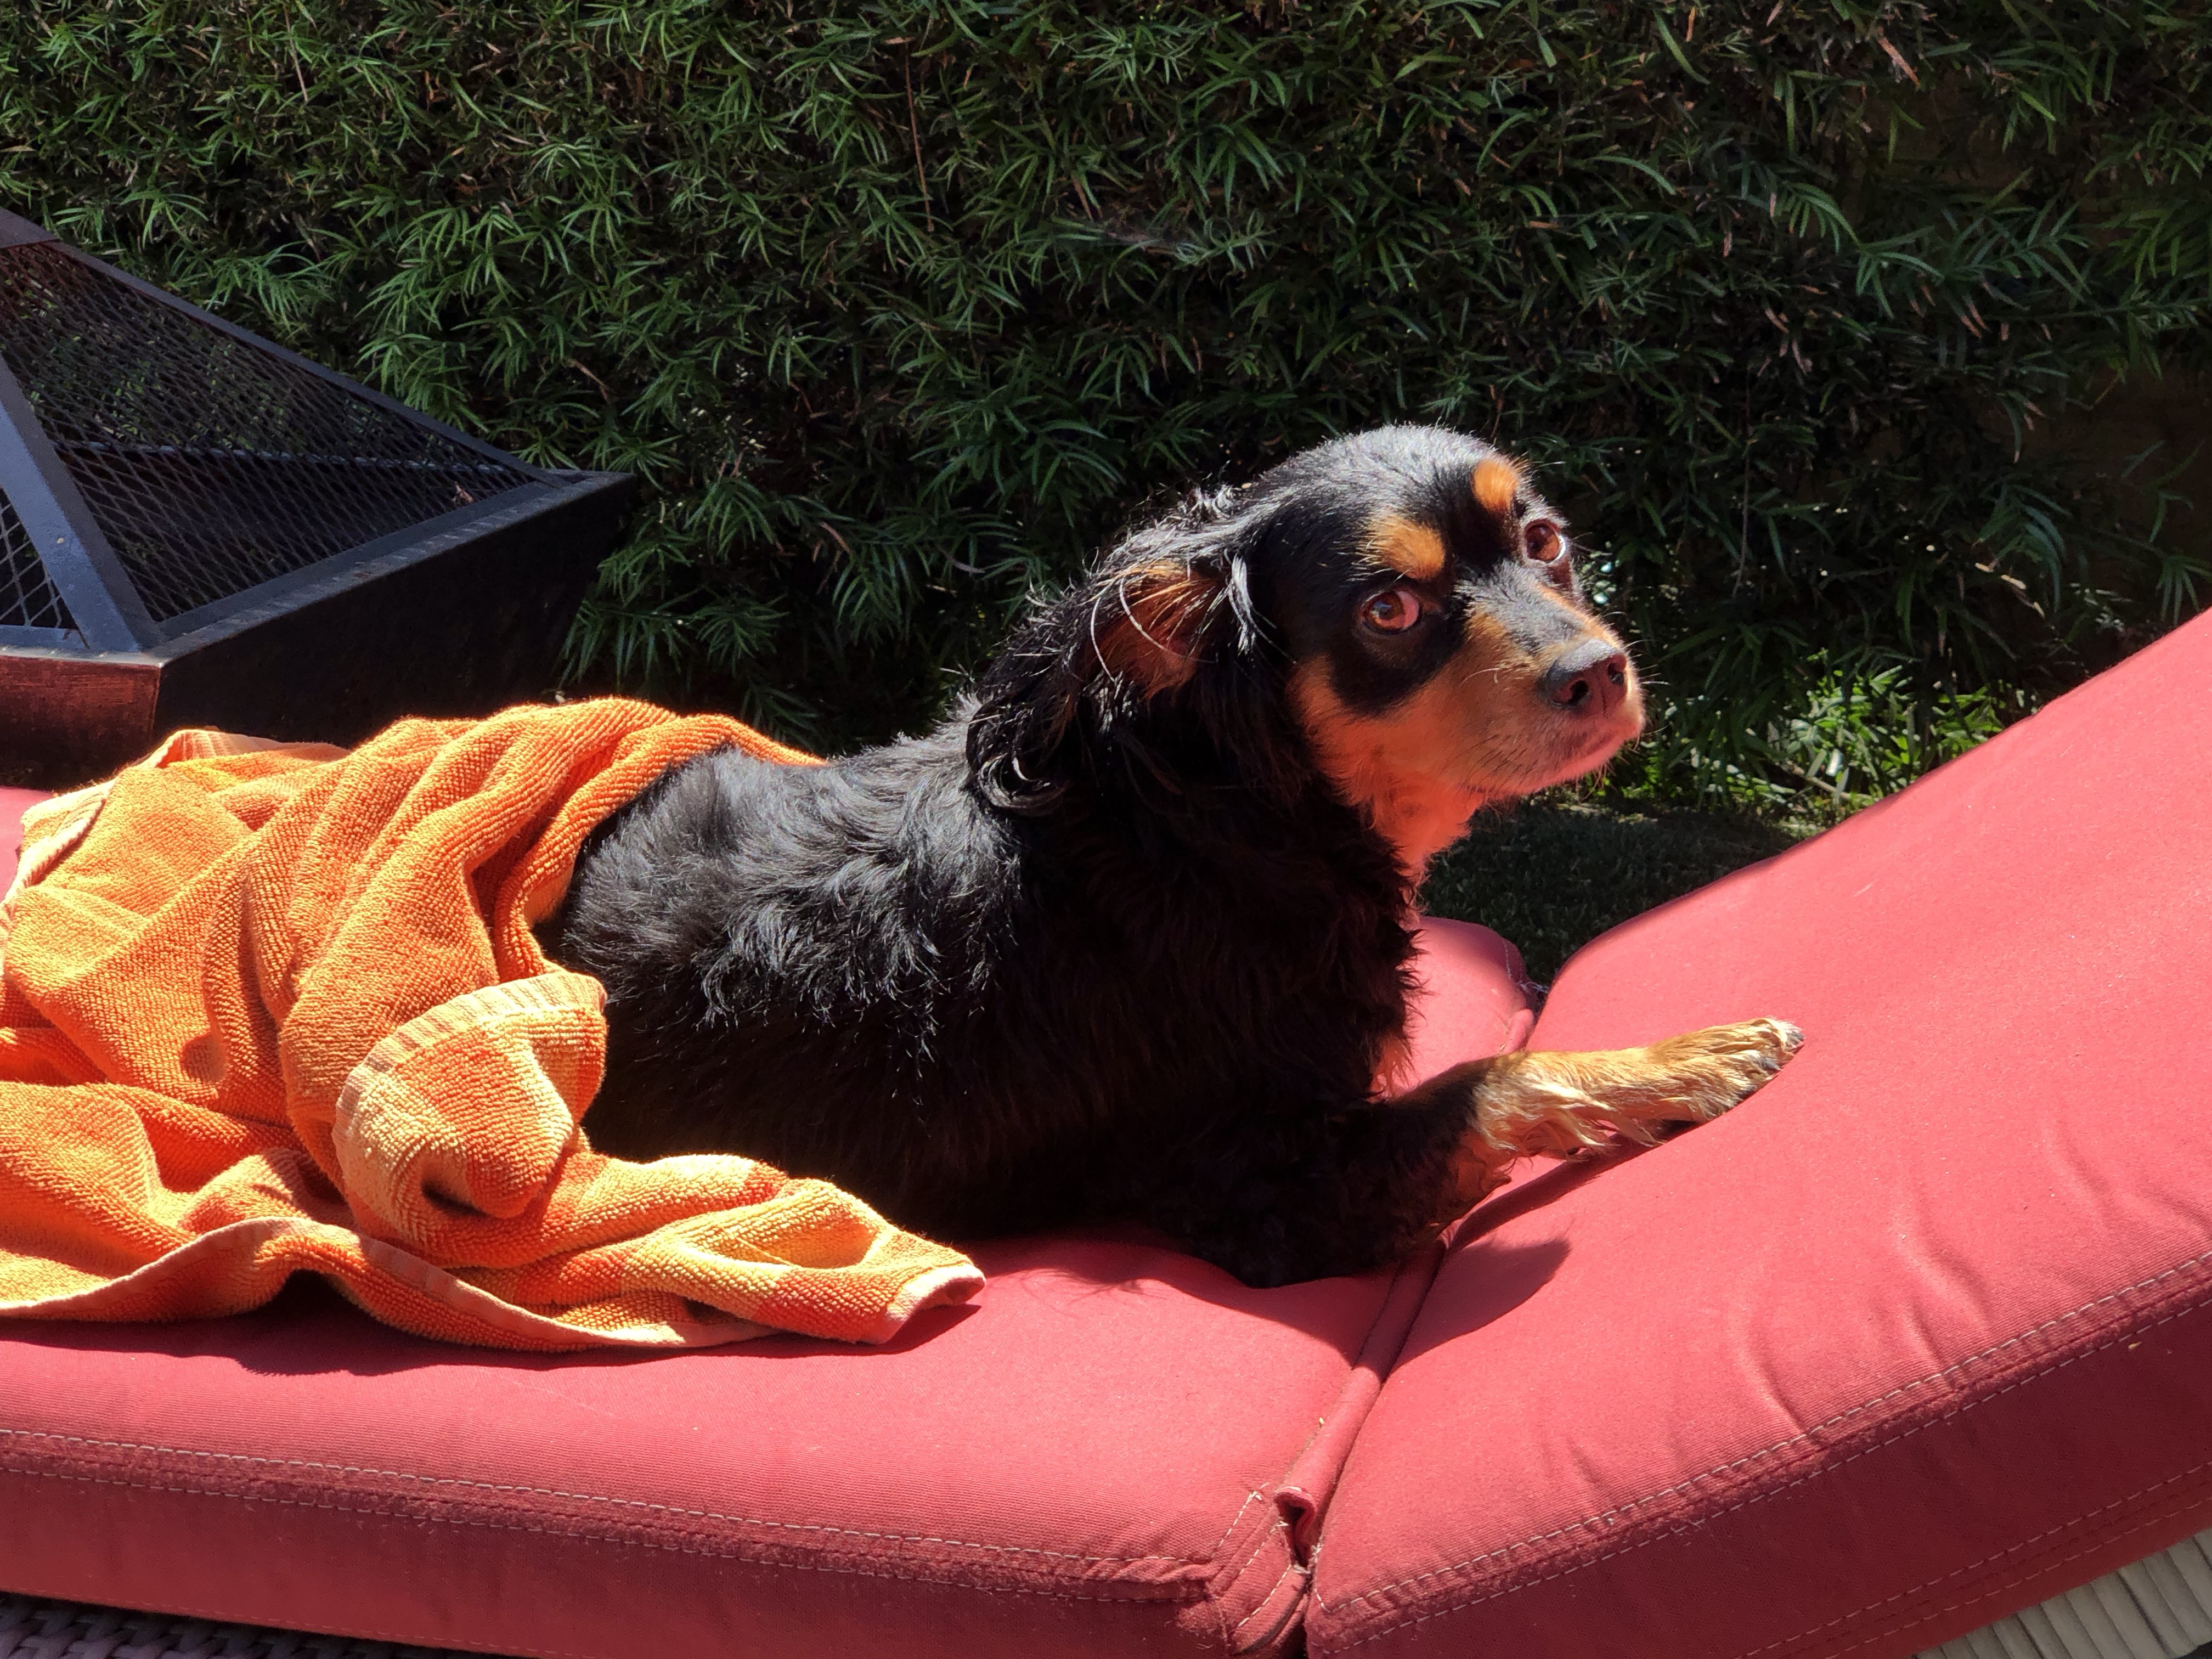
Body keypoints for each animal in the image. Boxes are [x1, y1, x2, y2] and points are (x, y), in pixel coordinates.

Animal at [547, 426, 1799, 1286]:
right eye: (1390, 611)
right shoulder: (1254, 1187)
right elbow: (1490, 1078)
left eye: (1544, 542)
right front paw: (1689, 1060)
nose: (1599, 672)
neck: (1229, 829)